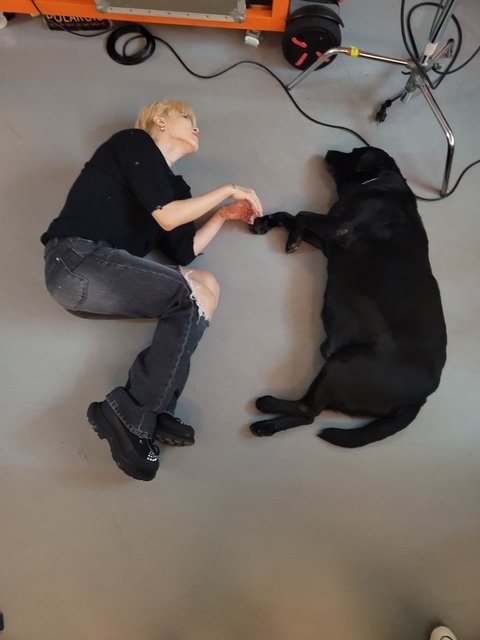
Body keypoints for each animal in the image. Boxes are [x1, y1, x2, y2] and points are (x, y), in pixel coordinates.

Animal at [250, 146, 447, 448]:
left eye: (354, 151)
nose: (328, 150)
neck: (378, 182)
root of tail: (421, 399)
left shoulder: (340, 228)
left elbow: (302, 212)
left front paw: (291, 239)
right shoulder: (327, 242)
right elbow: (289, 214)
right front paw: (266, 222)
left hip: (342, 365)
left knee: (309, 409)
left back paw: (268, 404)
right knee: (309, 415)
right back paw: (266, 427)